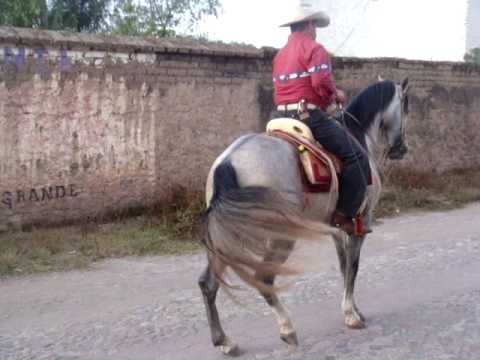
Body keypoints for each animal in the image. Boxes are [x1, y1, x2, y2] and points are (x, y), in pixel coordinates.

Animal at [197, 77, 410, 356]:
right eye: (405, 105)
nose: (401, 149)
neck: (358, 135)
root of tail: (228, 162)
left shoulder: (338, 227)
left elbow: (344, 267)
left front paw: (354, 310)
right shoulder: (361, 222)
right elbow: (353, 267)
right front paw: (351, 315)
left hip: (228, 237)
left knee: (208, 283)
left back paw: (225, 341)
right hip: (279, 236)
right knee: (263, 278)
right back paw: (287, 329)